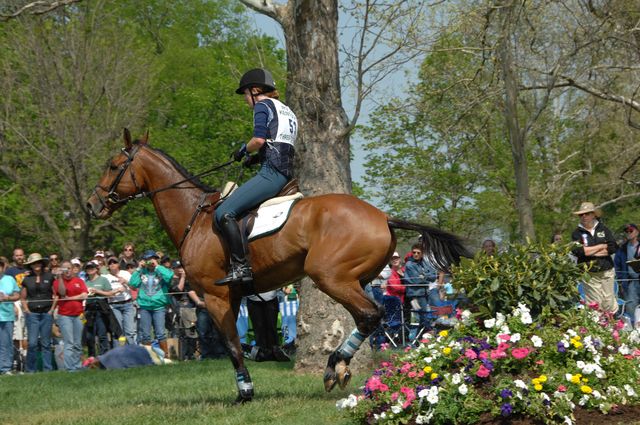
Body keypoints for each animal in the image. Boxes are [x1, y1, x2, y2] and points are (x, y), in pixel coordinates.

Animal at [86, 128, 470, 400]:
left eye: (113, 166)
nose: (92, 205)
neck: (195, 217)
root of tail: (383, 217)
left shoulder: (215, 296)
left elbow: (232, 344)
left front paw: (245, 392)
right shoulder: (234, 297)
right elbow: (238, 341)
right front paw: (256, 371)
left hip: (330, 277)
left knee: (370, 315)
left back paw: (334, 367)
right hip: (356, 279)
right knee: (368, 317)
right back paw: (339, 367)